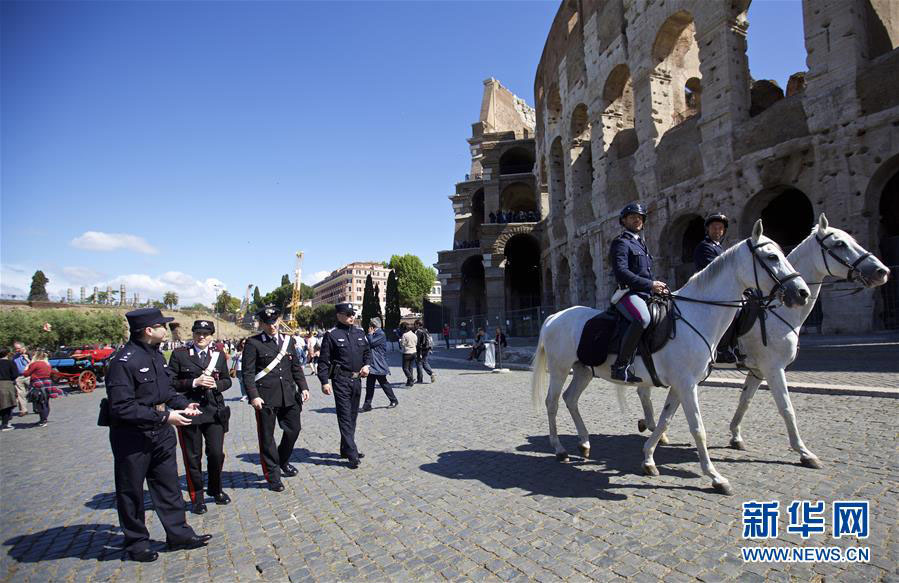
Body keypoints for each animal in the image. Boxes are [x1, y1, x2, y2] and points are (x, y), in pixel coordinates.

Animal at [532, 221, 812, 496]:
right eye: (772, 256)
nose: (802, 292)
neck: (697, 313)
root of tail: (555, 316)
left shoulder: (682, 384)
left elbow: (665, 420)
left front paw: (648, 459)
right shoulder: (690, 384)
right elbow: (698, 429)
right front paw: (716, 477)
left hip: (583, 370)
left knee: (571, 399)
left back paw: (585, 443)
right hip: (560, 369)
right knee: (552, 403)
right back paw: (560, 449)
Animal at [632, 212, 892, 468]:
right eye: (839, 244)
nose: (882, 271)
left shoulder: (757, 370)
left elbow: (745, 401)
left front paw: (735, 435)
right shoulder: (773, 367)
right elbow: (786, 408)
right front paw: (804, 452)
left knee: (644, 390)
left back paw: (654, 429)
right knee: (644, 391)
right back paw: (655, 430)